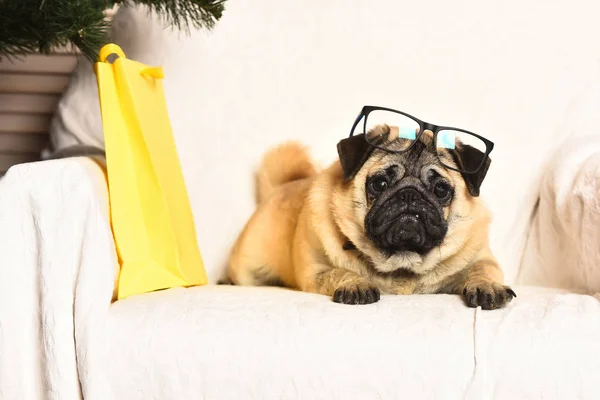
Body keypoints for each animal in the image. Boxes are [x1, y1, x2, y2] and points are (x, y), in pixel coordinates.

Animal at [225, 125, 516, 310]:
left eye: (441, 190)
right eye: (380, 184)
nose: (410, 195)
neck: (402, 262)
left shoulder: (482, 259)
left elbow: (481, 271)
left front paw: (487, 288)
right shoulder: (316, 271)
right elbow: (339, 272)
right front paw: (356, 284)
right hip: (249, 269)